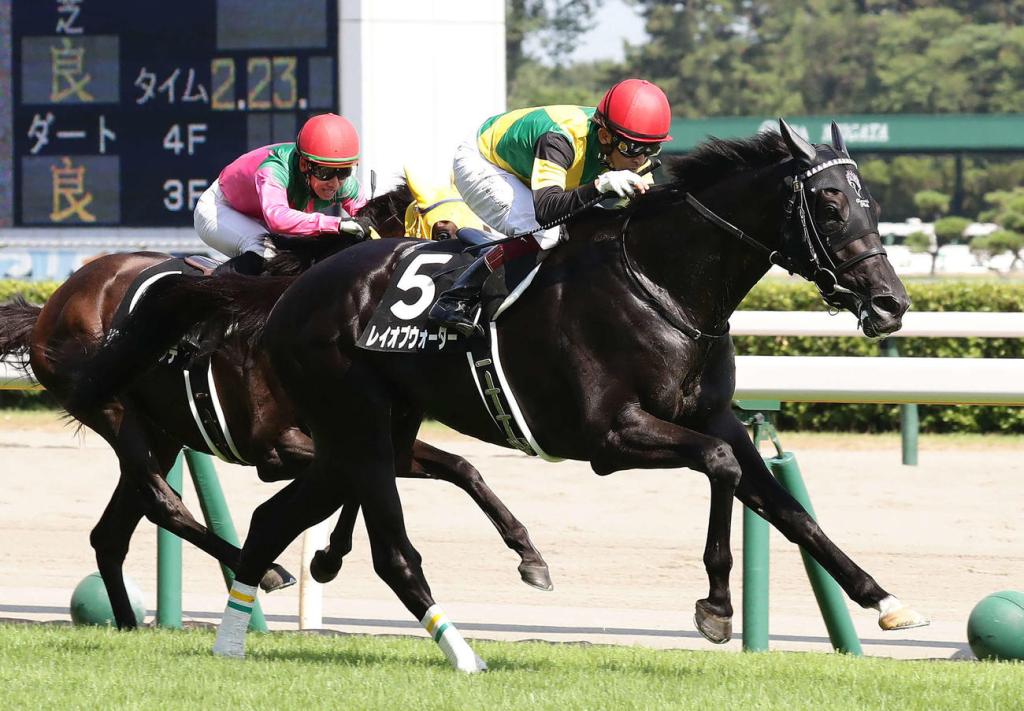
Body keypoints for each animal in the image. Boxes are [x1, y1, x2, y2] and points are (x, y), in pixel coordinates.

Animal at [0, 180, 550, 631]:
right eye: (443, 226)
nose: (488, 273)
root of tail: (54, 301)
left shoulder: (362, 436)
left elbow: (460, 467)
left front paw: (529, 555)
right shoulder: (278, 449)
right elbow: (360, 484)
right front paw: (326, 556)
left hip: (163, 432)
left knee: (110, 535)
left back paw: (131, 625)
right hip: (116, 414)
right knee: (161, 502)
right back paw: (267, 572)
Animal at [77, 121, 927, 671]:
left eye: (872, 204)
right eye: (827, 204)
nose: (890, 304)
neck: (664, 288)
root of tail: (290, 290)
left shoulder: (710, 415)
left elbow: (783, 505)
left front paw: (883, 598)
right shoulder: (609, 437)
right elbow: (719, 466)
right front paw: (715, 605)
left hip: (357, 437)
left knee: (269, 518)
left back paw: (233, 637)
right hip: (356, 426)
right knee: (389, 550)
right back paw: (460, 651)